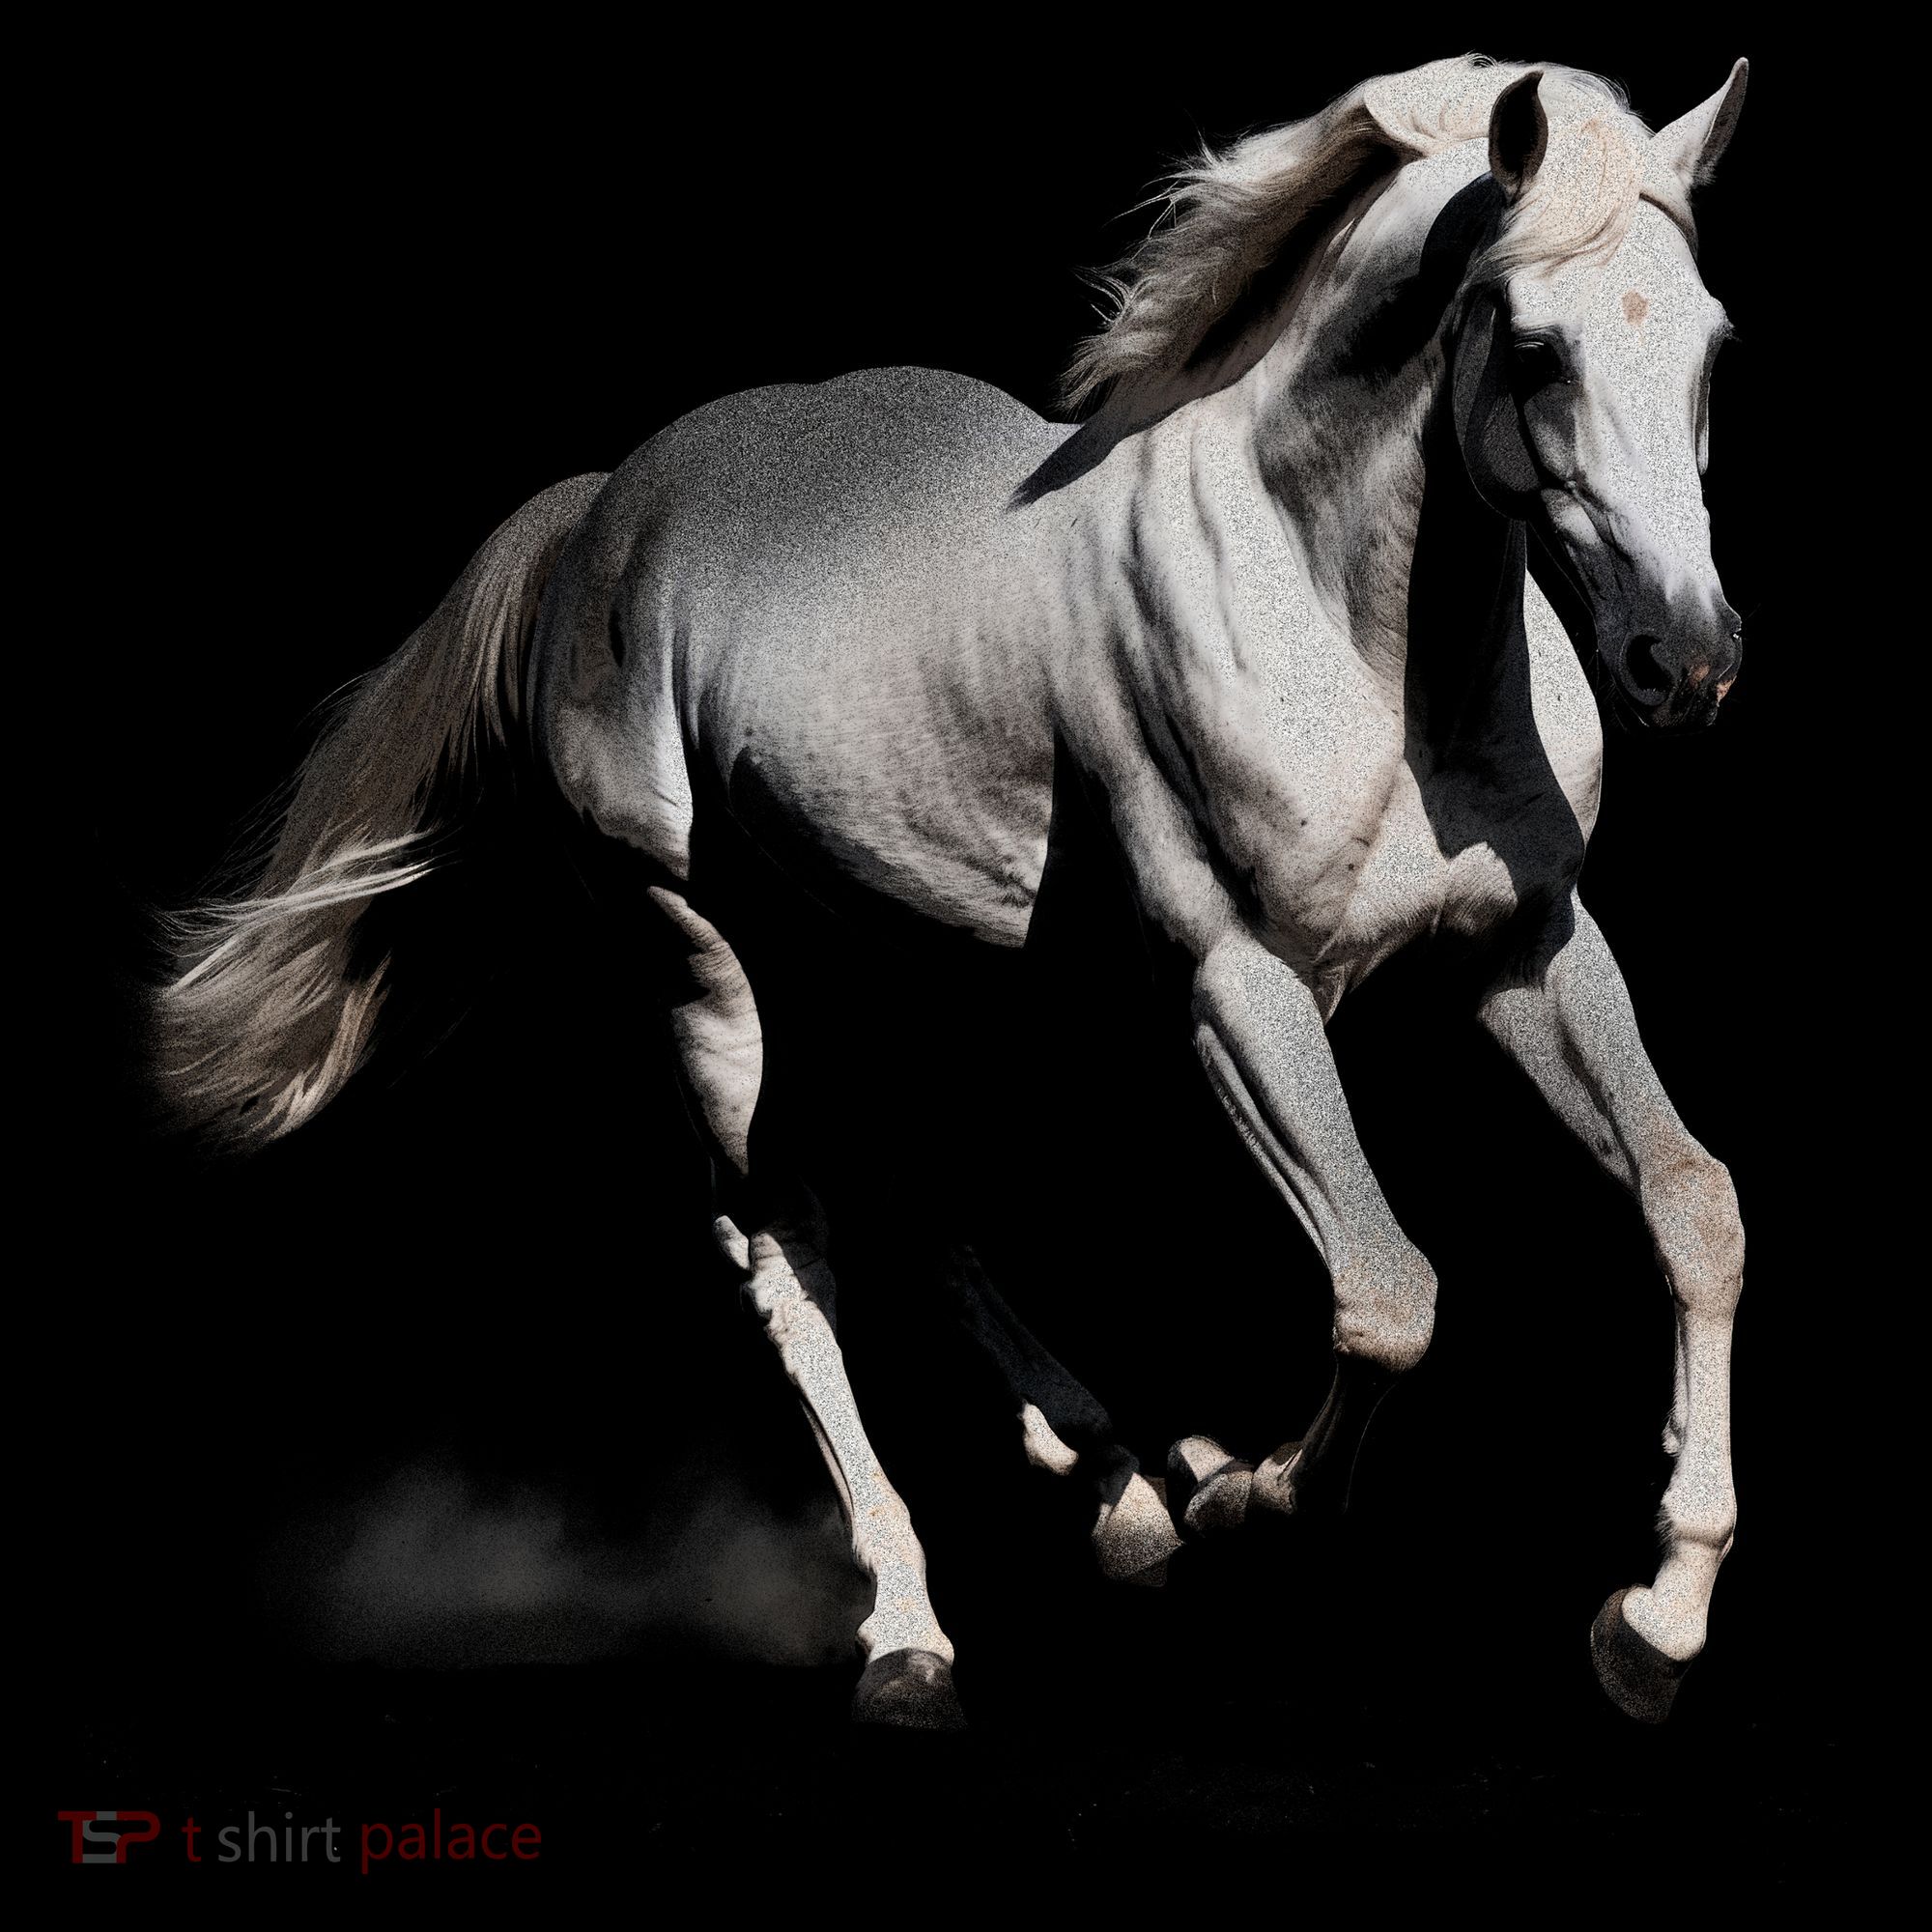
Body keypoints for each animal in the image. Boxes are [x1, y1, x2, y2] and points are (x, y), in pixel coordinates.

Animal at [152, 53, 1752, 1732]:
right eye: (1533, 346)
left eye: (1711, 345)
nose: (1685, 664)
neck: (1358, 642)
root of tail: (599, 515)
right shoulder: (1240, 986)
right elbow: (1390, 1296)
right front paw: (1251, 1497)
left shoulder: (1527, 944)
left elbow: (1692, 1204)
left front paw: (1655, 1620)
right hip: (701, 963)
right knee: (782, 1246)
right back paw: (916, 1631)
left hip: (914, 954)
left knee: (921, 1193)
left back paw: (1122, 1491)